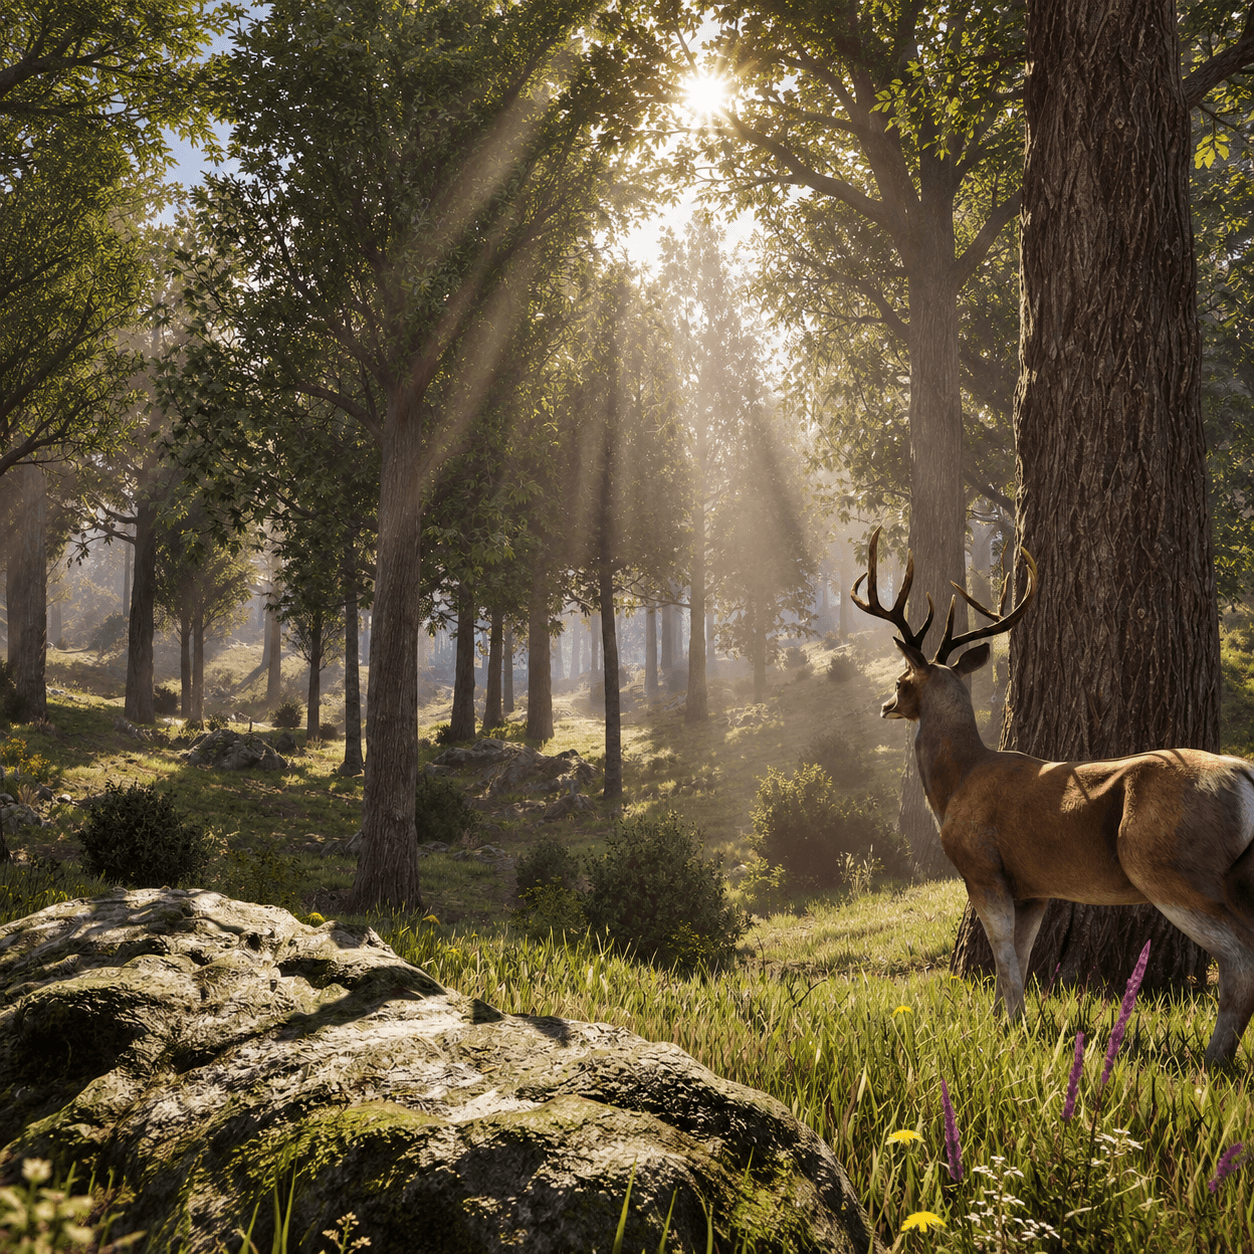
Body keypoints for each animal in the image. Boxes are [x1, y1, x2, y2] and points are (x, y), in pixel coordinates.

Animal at [851, 528, 1254, 1064]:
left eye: (901, 680)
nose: (885, 705)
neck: (957, 783)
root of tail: (1246, 774)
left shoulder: (981, 866)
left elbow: (1003, 955)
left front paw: (1014, 1026)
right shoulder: (1034, 885)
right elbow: (1020, 955)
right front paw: (1004, 1020)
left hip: (1173, 867)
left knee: (1240, 959)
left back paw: (1213, 1061)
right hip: (1235, 876)